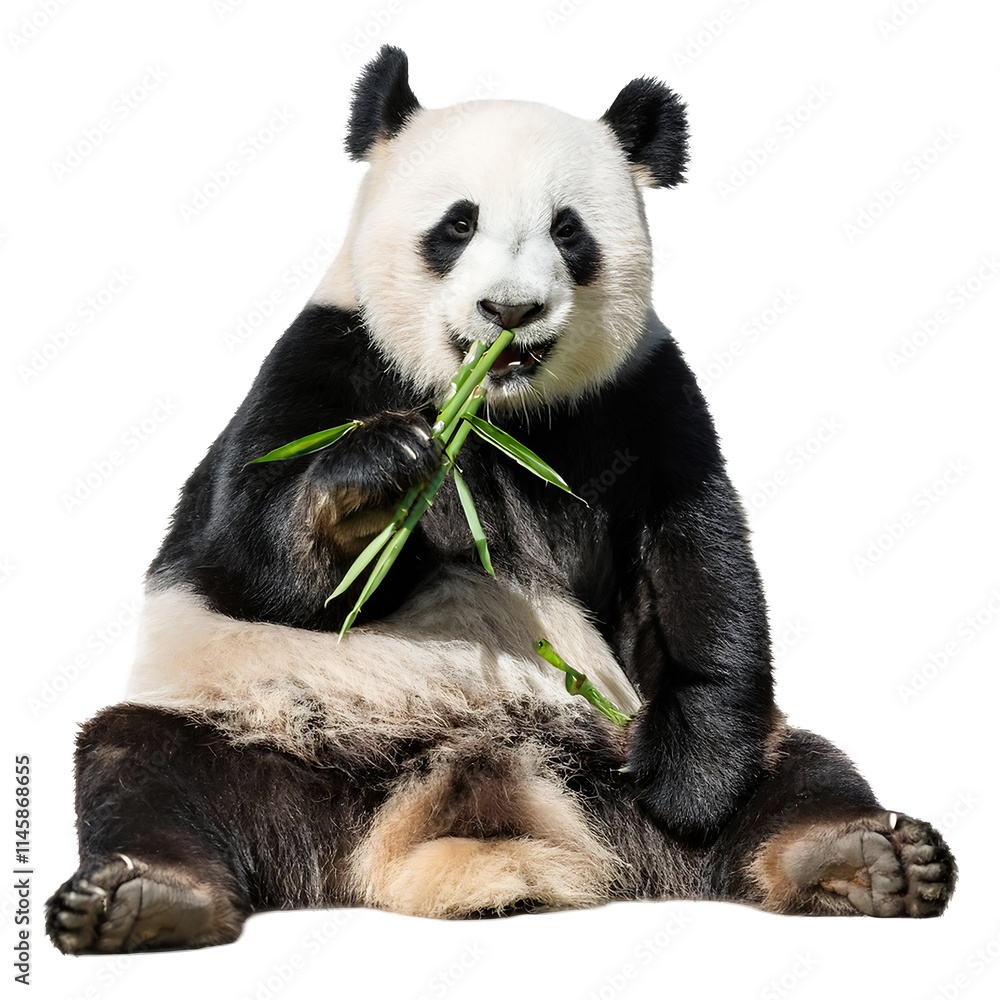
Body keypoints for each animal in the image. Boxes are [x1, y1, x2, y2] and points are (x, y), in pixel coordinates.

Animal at [47, 45, 956, 954]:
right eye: (457, 226)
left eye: (567, 229)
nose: (510, 311)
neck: (496, 411)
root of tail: (477, 782)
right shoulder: (328, 356)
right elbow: (241, 561)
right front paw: (376, 486)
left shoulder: (640, 395)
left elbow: (696, 561)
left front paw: (693, 783)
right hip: (271, 735)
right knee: (140, 763)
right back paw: (144, 898)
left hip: (615, 751)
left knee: (801, 768)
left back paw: (861, 856)